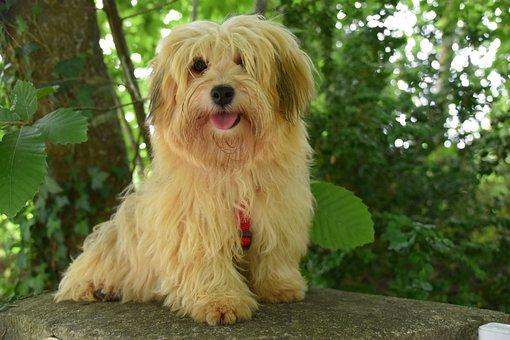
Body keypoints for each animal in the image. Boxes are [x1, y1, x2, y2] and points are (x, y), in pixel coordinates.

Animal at [57, 14, 316, 326]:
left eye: (243, 60)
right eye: (199, 65)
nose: (221, 92)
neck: (231, 166)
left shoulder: (277, 210)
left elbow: (274, 251)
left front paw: (279, 285)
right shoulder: (194, 220)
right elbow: (206, 259)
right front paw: (219, 300)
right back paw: (97, 287)